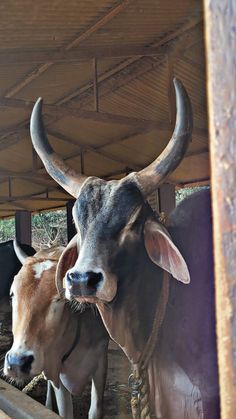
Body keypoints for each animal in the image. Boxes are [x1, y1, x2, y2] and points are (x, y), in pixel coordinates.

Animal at [3, 243, 109, 419]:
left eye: (59, 299)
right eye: (12, 294)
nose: (17, 362)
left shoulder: (101, 361)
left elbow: (96, 409)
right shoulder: (57, 372)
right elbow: (65, 411)